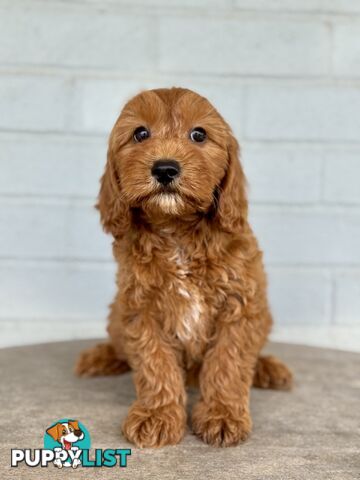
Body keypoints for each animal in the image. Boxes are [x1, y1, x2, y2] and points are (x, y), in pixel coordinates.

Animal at [76, 88, 292, 448]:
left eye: (199, 135)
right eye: (140, 134)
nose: (165, 169)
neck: (176, 230)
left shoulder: (240, 304)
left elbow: (228, 363)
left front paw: (222, 414)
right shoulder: (140, 309)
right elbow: (154, 364)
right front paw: (157, 415)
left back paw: (268, 369)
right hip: (115, 314)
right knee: (119, 344)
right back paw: (100, 357)